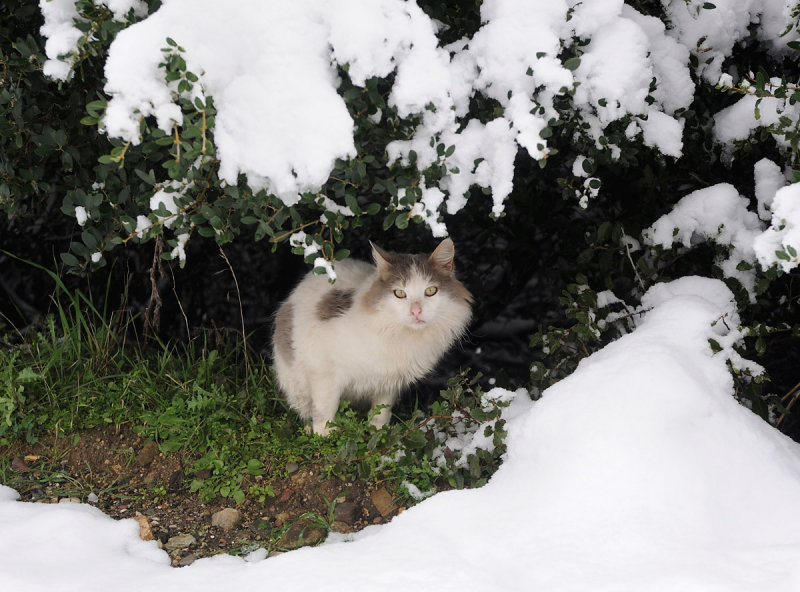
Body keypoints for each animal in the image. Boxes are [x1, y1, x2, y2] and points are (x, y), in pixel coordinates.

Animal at [272, 238, 472, 438]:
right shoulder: (324, 373)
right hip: (295, 383)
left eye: (430, 291)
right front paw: (325, 437)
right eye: (399, 293)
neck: (399, 336)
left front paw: (378, 433)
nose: (416, 311)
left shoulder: (389, 382)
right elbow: (324, 411)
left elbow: (381, 411)